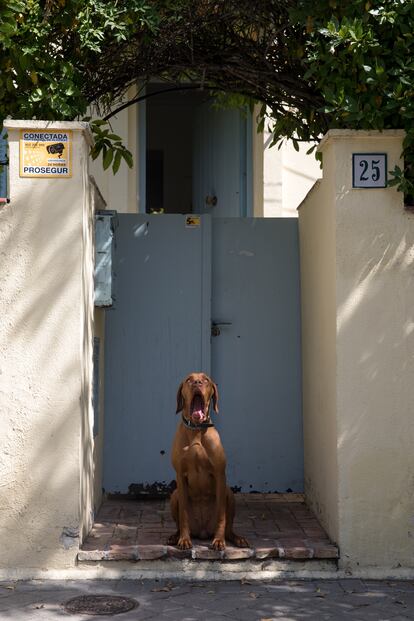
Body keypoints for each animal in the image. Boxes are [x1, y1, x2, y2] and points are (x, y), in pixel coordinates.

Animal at [168, 370, 249, 548]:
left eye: (205, 379)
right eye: (188, 379)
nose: (197, 383)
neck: (197, 430)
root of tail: (202, 532)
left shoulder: (219, 474)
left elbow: (221, 515)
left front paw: (219, 540)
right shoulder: (180, 476)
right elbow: (183, 514)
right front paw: (184, 539)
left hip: (229, 493)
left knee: (228, 527)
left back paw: (236, 538)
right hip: (174, 495)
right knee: (178, 521)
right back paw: (175, 536)